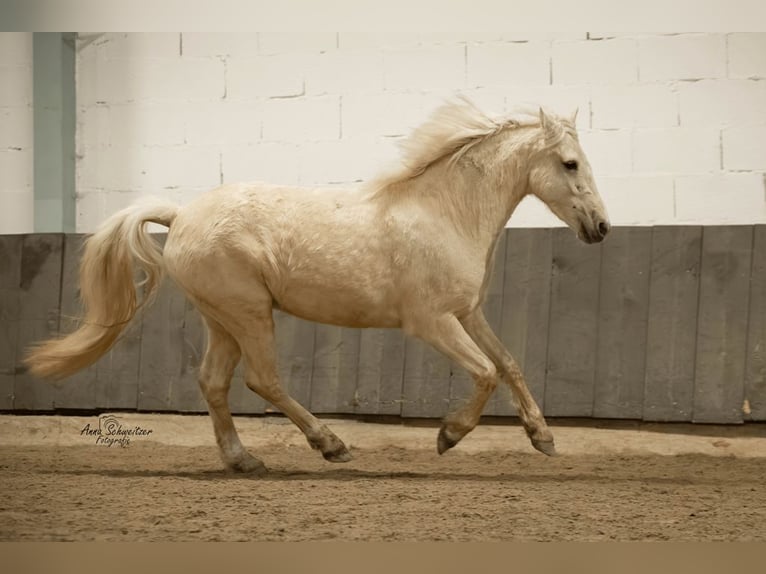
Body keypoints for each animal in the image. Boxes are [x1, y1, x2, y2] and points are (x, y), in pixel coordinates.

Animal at [25, 99, 612, 474]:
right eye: (569, 163)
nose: (602, 227)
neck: (444, 213)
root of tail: (181, 214)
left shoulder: (467, 313)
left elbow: (508, 364)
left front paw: (543, 438)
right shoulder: (431, 322)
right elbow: (486, 372)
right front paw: (448, 435)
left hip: (223, 319)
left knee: (214, 382)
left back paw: (244, 460)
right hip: (249, 313)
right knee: (262, 380)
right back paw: (331, 445)